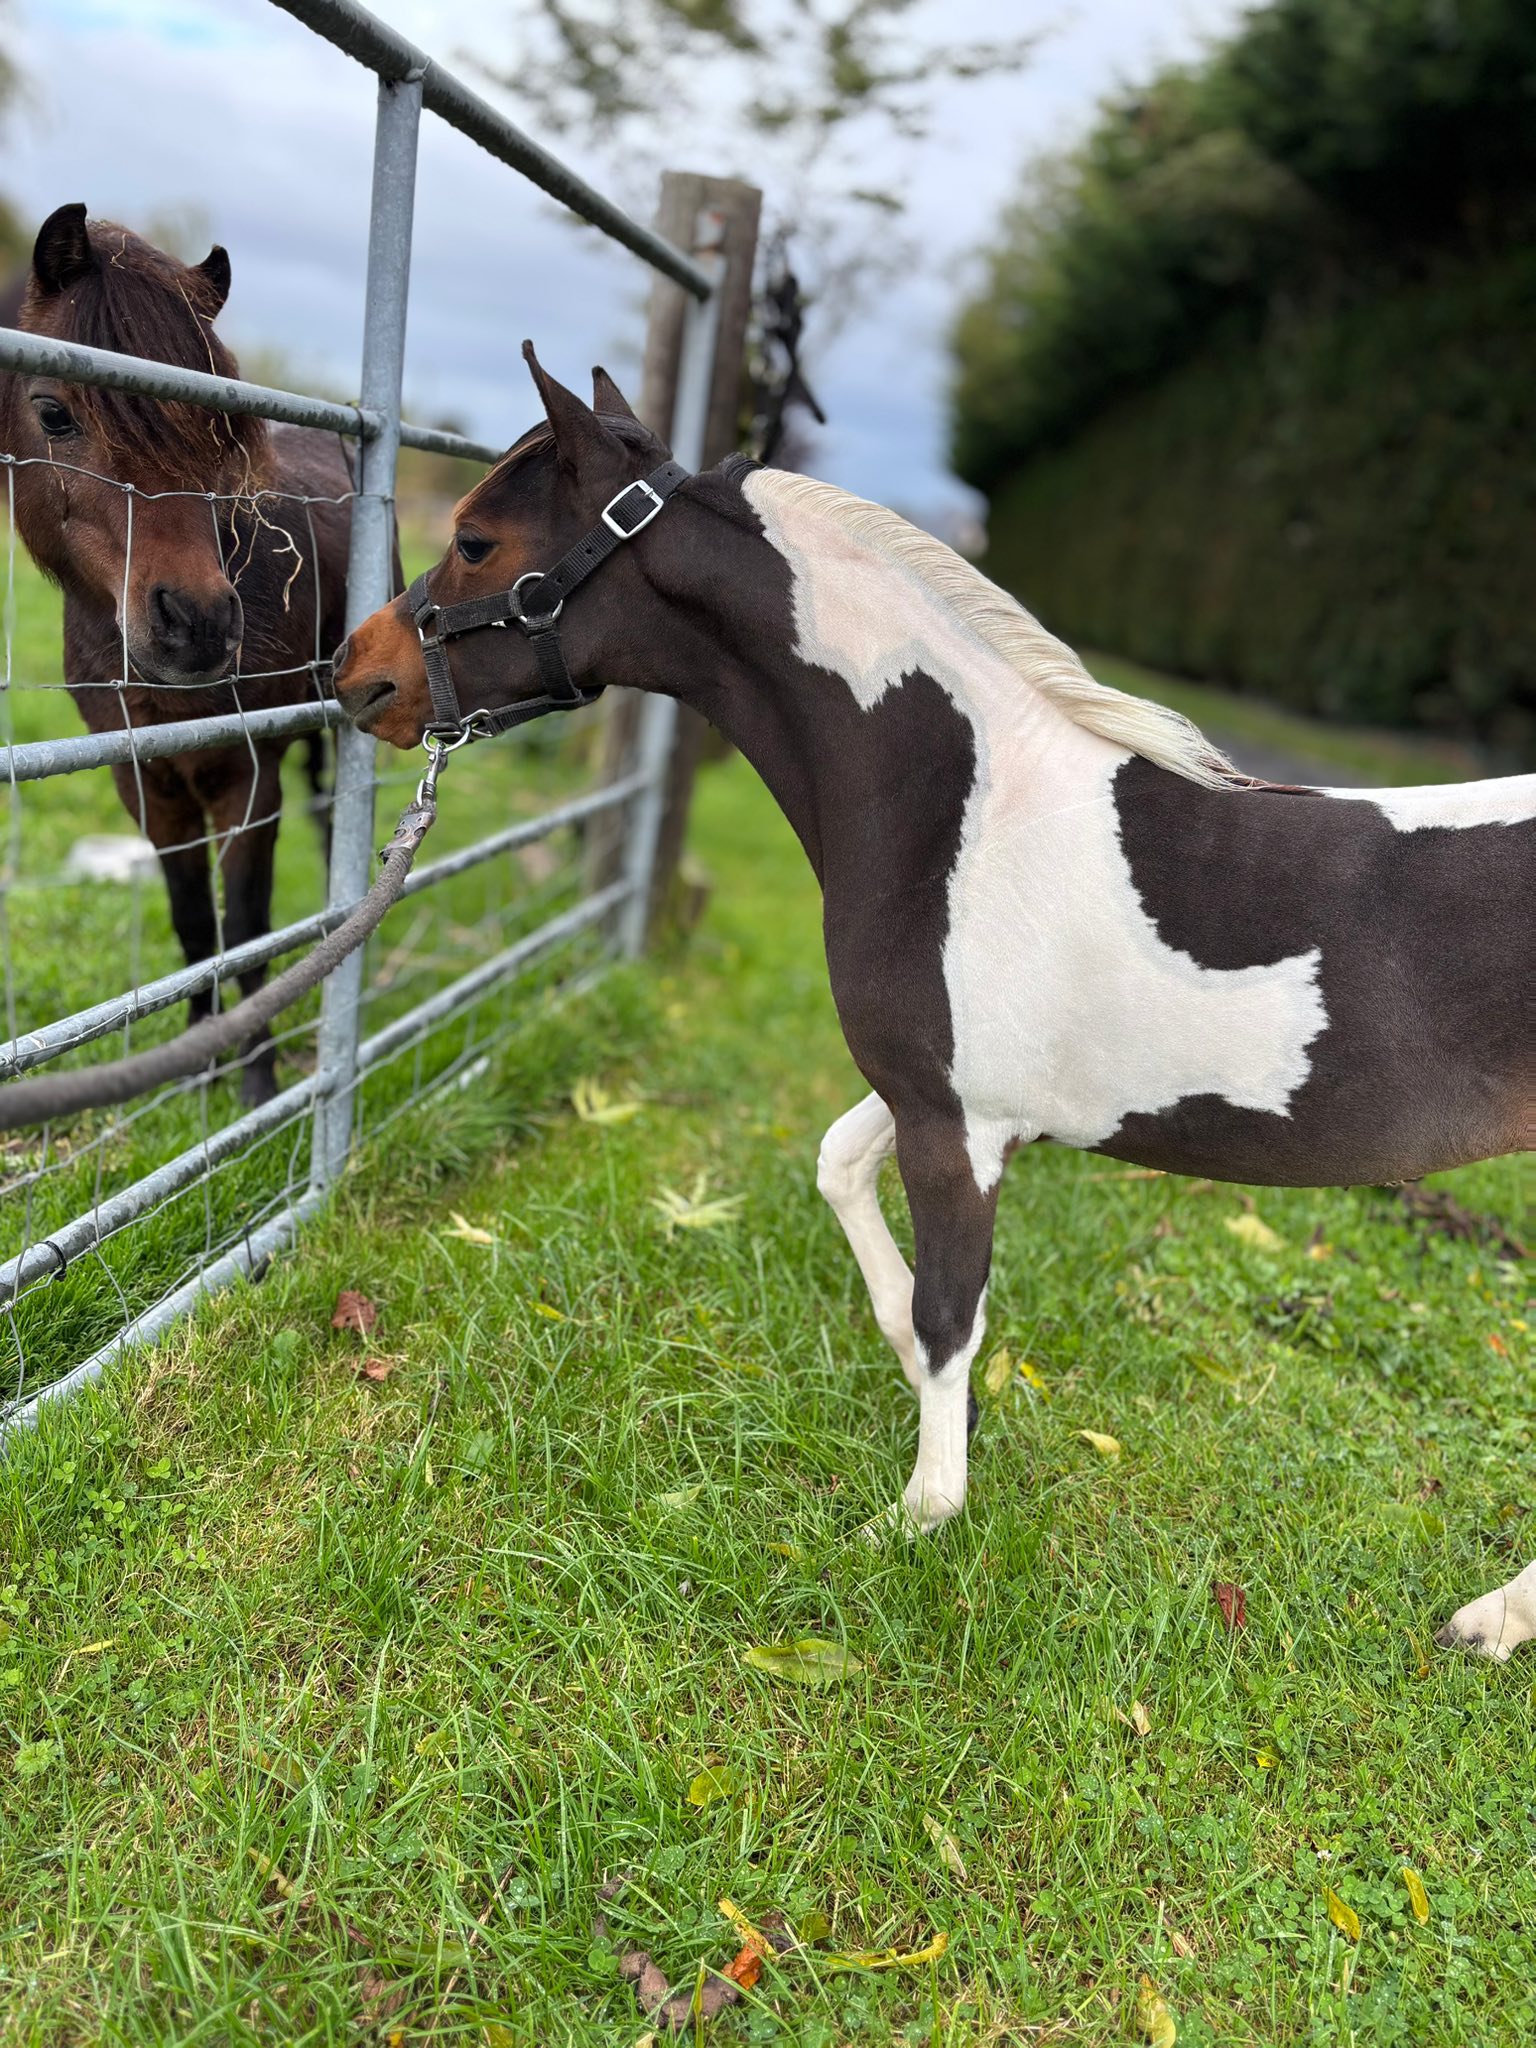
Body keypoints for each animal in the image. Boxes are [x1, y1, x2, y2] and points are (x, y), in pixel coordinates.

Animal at [0, 204, 354, 1105]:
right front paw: (198, 1055)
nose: (197, 623)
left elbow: (248, 924)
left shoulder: (247, 777)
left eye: (222, 426)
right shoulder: (148, 784)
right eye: (53, 411)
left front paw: (255, 1076)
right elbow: (194, 921)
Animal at [331, 344, 1534, 1659]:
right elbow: (844, 1180)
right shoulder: (938, 1099)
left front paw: (918, 1514)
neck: (962, 811)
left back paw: (1490, 1621)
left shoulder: (958, 1131)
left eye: (478, 540)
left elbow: (956, 1307)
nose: (358, 676)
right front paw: (911, 1367)